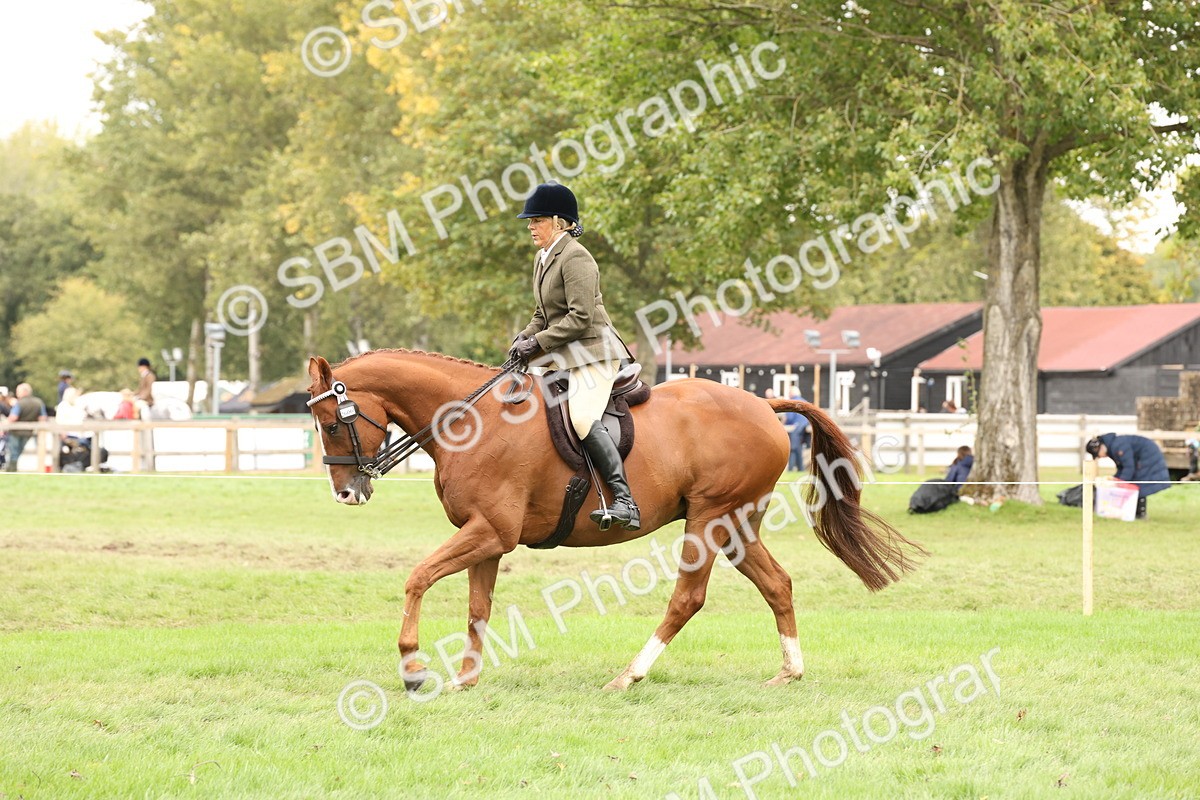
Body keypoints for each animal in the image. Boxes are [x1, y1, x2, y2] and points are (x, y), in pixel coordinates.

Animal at [305, 349, 926, 691]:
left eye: (333, 425)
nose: (346, 493)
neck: (473, 420)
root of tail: (763, 405)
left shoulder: (489, 531)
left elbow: (417, 578)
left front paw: (413, 667)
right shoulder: (488, 539)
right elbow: (477, 608)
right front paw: (465, 679)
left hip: (708, 519)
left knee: (687, 599)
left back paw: (629, 676)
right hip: (736, 524)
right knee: (777, 584)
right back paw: (789, 672)